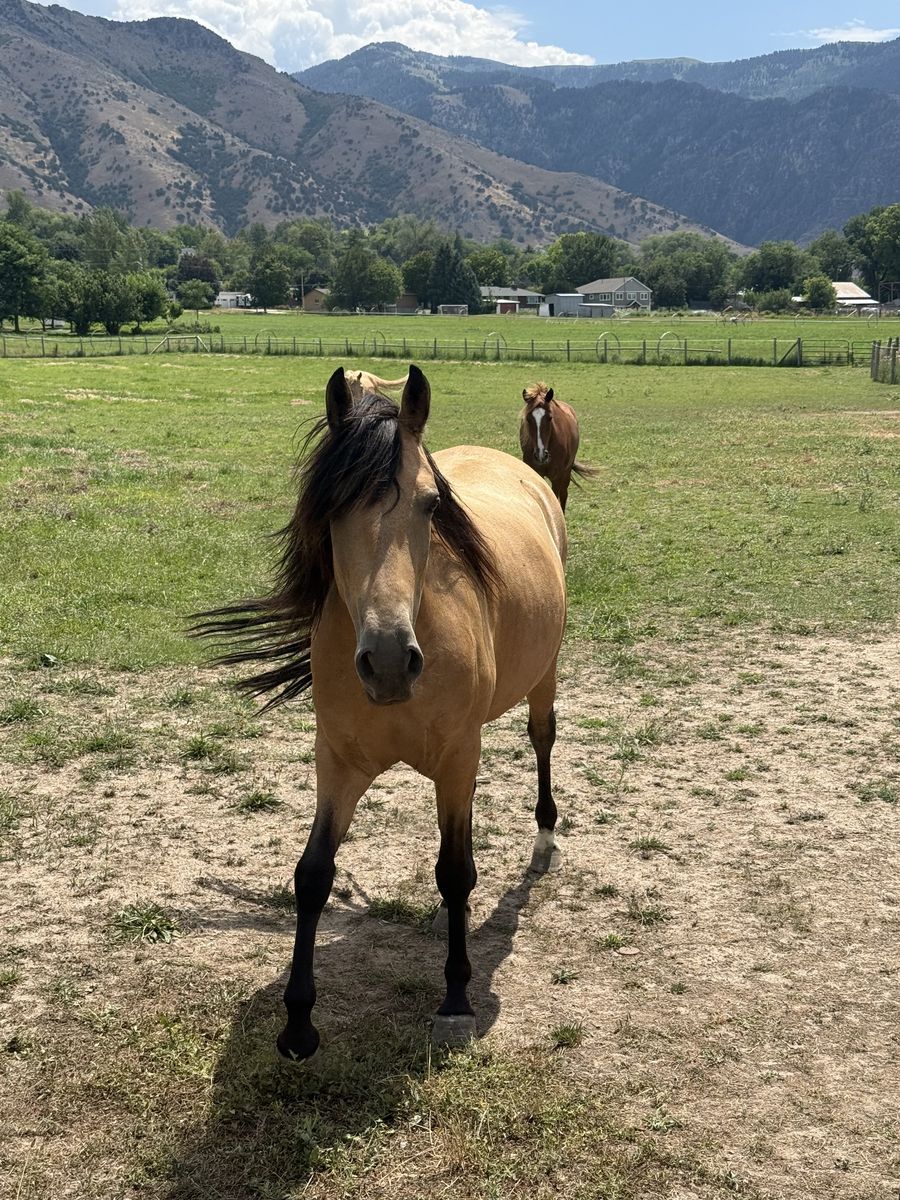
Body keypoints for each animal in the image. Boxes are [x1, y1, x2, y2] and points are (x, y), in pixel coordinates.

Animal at [195, 365, 567, 1060]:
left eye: (431, 505)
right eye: (331, 506)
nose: (390, 660)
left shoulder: (458, 758)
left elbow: (456, 870)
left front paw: (456, 999)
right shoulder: (338, 761)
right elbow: (313, 874)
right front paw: (297, 1022)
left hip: (545, 675)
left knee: (542, 739)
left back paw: (544, 839)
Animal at [519, 382, 595, 512]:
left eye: (550, 418)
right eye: (528, 419)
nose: (541, 455)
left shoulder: (556, 477)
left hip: (566, 472)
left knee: (563, 495)